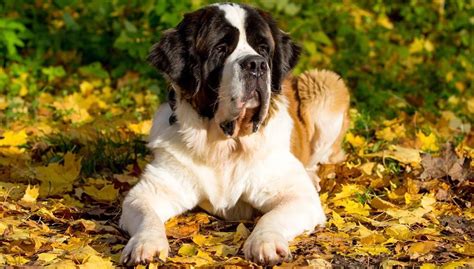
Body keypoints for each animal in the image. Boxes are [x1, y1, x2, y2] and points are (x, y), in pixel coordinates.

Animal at [119, 2, 348, 264]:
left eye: (263, 48)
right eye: (220, 49)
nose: (256, 64)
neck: (226, 144)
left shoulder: (298, 196)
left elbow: (272, 216)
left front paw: (265, 243)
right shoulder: (147, 192)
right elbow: (147, 215)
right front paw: (145, 244)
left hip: (325, 85)